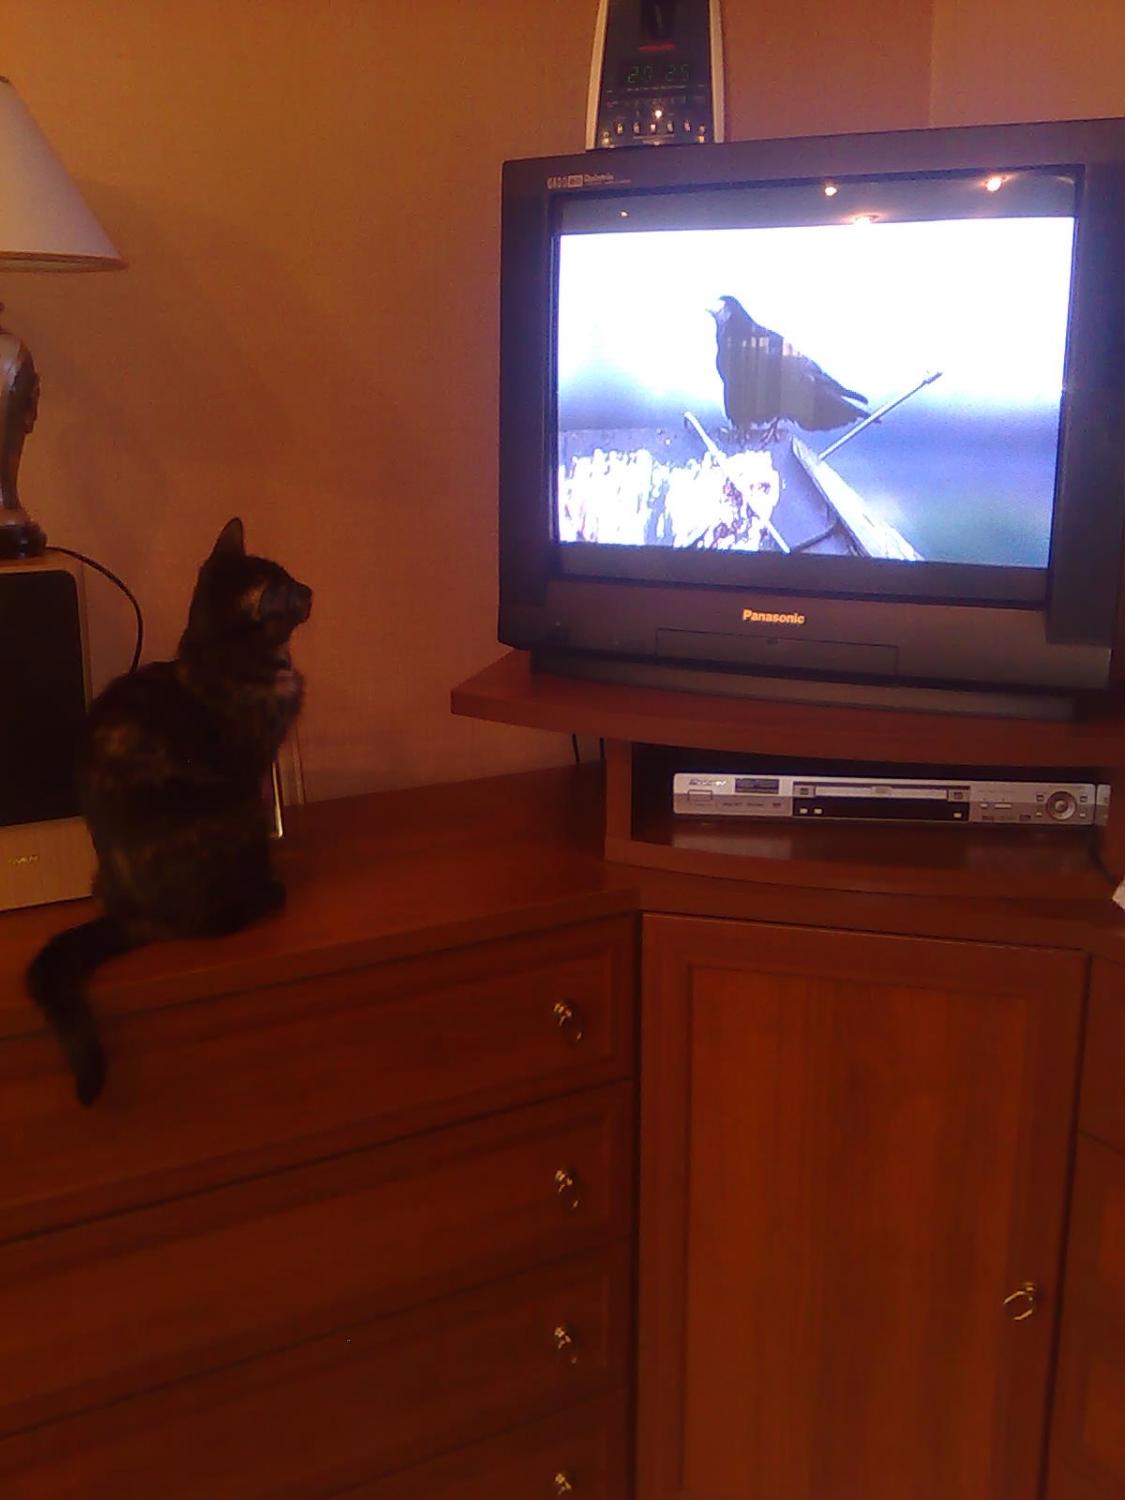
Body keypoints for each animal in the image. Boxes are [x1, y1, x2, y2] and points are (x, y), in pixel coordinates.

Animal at [26, 517, 312, 1105]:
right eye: (290, 591)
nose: (312, 589)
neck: (218, 658)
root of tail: (134, 912)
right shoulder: (250, 771)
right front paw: (272, 876)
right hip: (227, 815)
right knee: (207, 923)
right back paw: (262, 897)